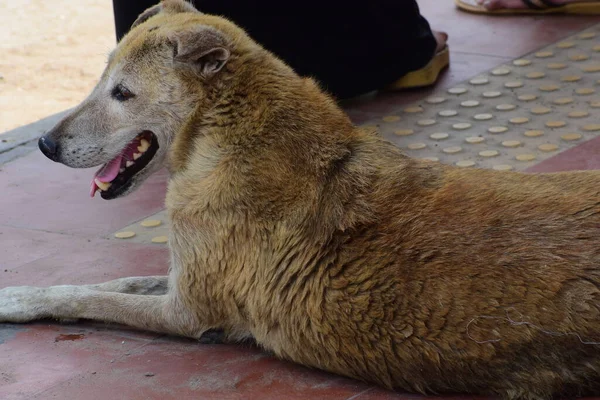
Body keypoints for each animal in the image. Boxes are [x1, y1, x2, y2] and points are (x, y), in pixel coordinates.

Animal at [1, 1, 600, 398]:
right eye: (101, 79)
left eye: (122, 93)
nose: (45, 144)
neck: (226, 134)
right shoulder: (183, 274)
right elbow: (107, 281)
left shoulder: (189, 311)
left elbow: (96, 299)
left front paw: (22, 301)